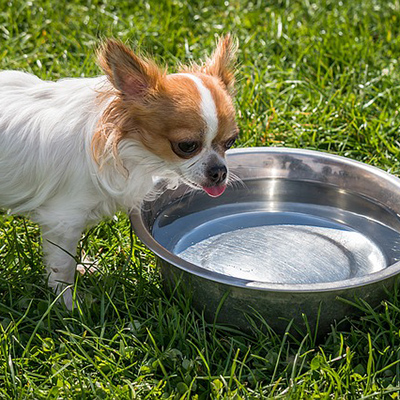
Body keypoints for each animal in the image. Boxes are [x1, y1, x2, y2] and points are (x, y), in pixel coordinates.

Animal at [0, 35, 238, 310]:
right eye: (187, 146)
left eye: (231, 141)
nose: (219, 171)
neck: (126, 146)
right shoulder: (64, 219)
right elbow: (62, 264)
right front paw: (69, 304)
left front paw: (81, 271)